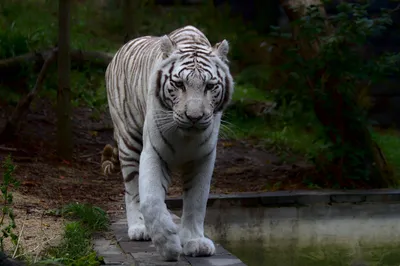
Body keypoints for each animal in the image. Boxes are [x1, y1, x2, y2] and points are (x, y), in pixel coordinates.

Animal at [100, 26, 236, 260]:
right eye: (179, 84)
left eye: (210, 86)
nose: (194, 117)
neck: (187, 137)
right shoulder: (154, 152)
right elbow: (151, 200)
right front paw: (168, 244)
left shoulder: (204, 158)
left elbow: (196, 201)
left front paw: (195, 241)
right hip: (129, 141)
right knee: (132, 189)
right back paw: (139, 228)